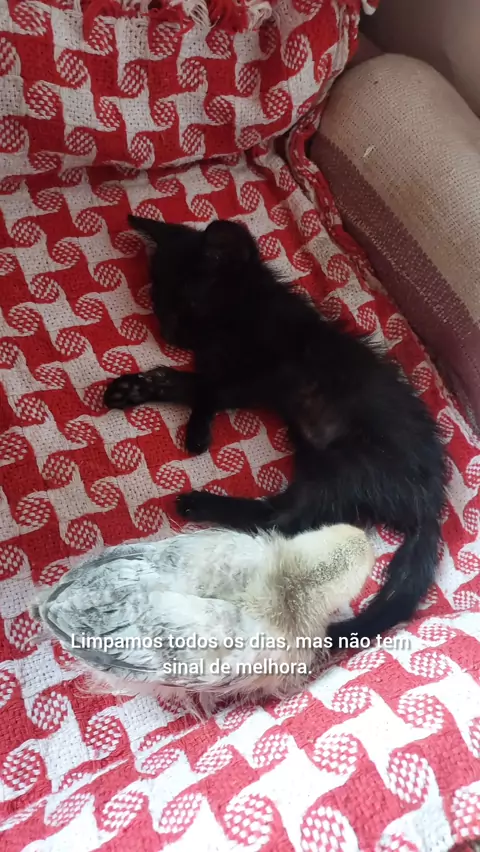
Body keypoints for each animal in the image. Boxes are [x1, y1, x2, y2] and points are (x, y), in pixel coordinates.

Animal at [104, 216, 447, 646]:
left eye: (189, 303)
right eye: (158, 302)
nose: (168, 334)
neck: (249, 309)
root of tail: (429, 504)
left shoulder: (269, 372)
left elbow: (207, 388)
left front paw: (196, 430)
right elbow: (196, 382)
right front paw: (137, 388)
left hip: (350, 463)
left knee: (281, 518)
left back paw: (199, 503)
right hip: (325, 467)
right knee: (288, 518)